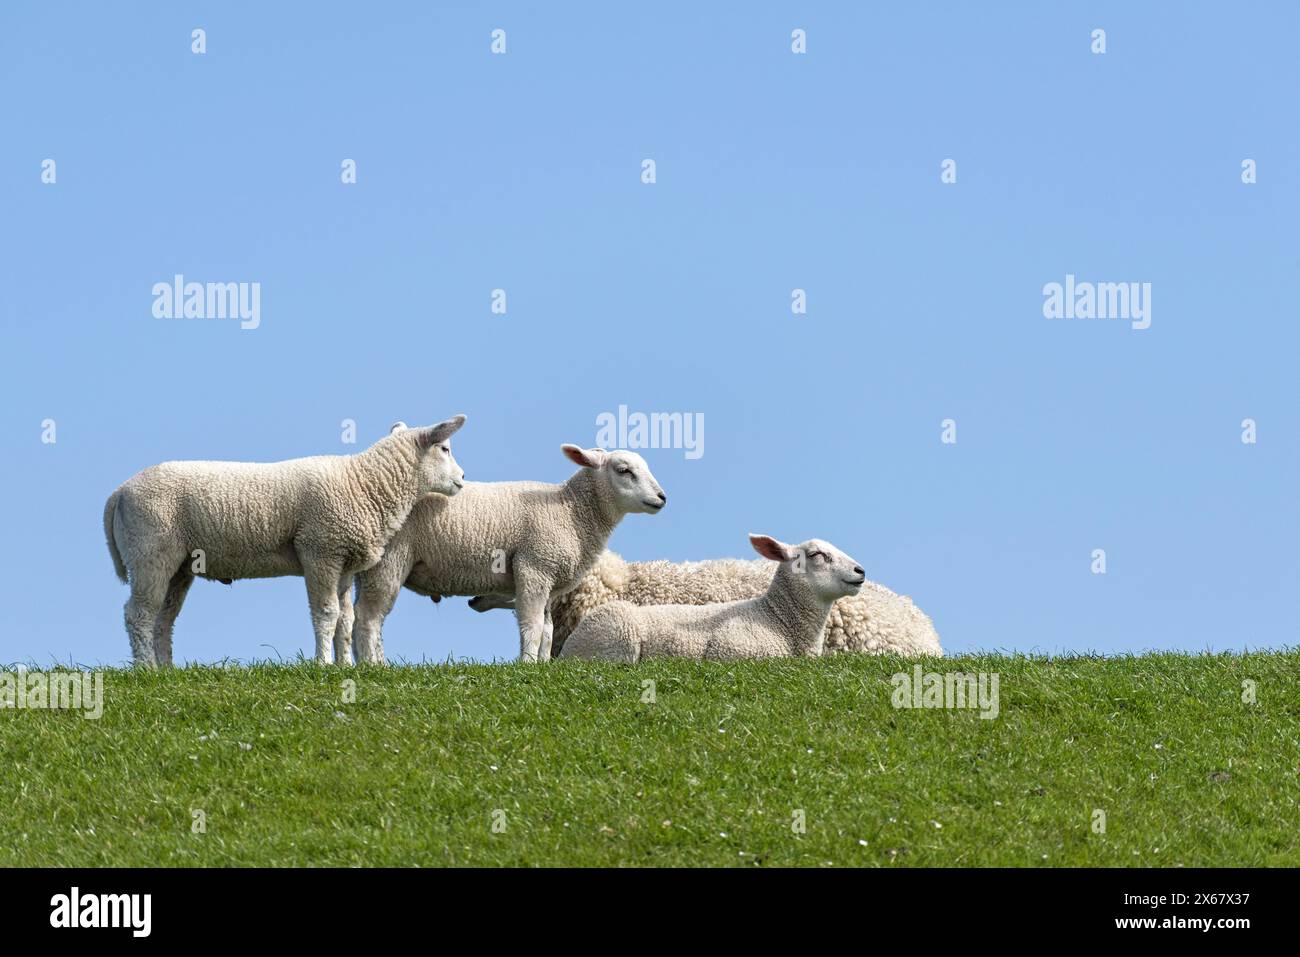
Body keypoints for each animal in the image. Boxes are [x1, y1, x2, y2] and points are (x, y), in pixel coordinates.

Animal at [102, 416, 467, 670]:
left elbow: (346, 619)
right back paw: (145, 669)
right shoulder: (320, 550)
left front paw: (345, 666)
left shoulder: (345, 562)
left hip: (178, 564)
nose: (462, 479)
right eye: (445, 449)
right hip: (150, 551)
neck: (364, 483)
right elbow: (326, 613)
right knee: (138, 614)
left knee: (163, 619)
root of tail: (119, 492)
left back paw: (166, 669)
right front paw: (322, 664)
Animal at [351, 447, 665, 665]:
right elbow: (533, 625)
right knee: (369, 617)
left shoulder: (550, 580)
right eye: (624, 470)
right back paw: (374, 666)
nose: (662, 497)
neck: (572, 511)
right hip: (389, 560)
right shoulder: (534, 567)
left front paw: (541, 665)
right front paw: (525, 664)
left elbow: (548, 629)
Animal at [561, 535, 873, 660]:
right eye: (817, 554)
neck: (777, 618)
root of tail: (567, 649)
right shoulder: (733, 650)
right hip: (618, 640)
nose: (861, 571)